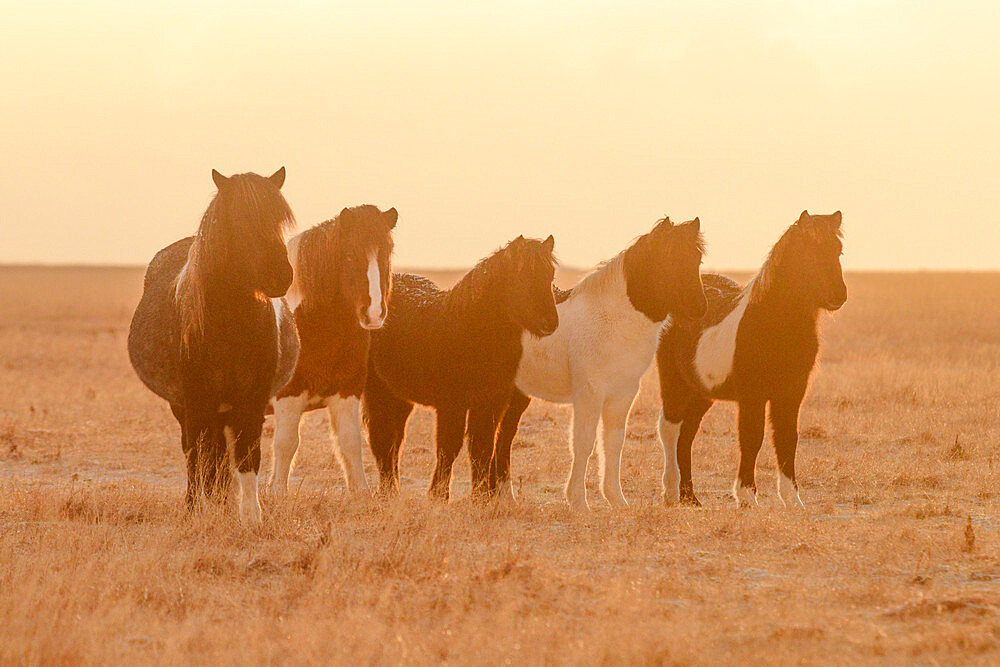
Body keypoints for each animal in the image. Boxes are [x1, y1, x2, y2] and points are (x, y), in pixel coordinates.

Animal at [127, 170, 296, 524]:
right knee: (196, 452)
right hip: (186, 407)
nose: (280, 275)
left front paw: (251, 516)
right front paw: (197, 509)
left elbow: (248, 453)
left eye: (279, 220)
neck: (230, 325)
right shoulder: (196, 399)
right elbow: (198, 452)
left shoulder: (252, 399)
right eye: (240, 221)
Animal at [272, 206, 400, 498]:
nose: (373, 313)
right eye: (350, 254)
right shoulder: (288, 395)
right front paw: (277, 494)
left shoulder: (347, 392)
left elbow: (350, 441)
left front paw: (362, 492)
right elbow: (286, 444)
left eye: (388, 251)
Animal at [364, 235, 560, 500]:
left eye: (550, 274)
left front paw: (480, 498)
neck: (469, 330)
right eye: (523, 276)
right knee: (382, 438)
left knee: (395, 439)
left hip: (399, 396)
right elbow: (449, 447)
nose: (550, 323)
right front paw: (438, 496)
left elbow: (483, 447)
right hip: (378, 390)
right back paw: (389, 492)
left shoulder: (491, 403)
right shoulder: (451, 404)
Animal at [490, 217, 708, 508]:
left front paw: (617, 500)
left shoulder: (622, 394)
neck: (614, 319)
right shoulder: (589, 393)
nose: (700, 308)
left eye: (696, 258)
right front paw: (578, 502)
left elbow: (613, 443)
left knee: (502, 437)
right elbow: (584, 442)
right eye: (669, 259)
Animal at [660, 211, 848, 508]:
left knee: (686, 436)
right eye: (809, 253)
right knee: (669, 429)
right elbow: (752, 437)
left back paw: (690, 497)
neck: (773, 325)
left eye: (838, 250)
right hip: (674, 384)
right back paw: (670, 493)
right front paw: (747, 496)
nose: (838, 295)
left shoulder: (791, 393)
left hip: (701, 393)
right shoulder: (752, 395)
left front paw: (792, 499)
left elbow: (786, 438)